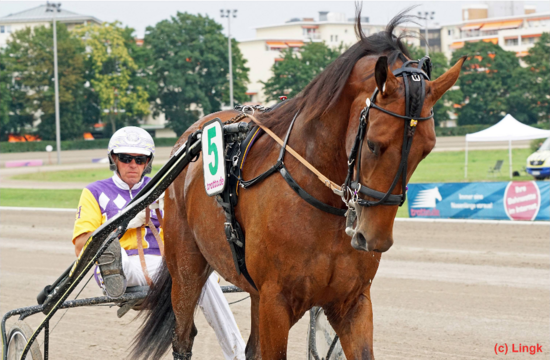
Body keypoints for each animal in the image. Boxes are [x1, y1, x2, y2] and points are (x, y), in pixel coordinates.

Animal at [133, 9, 466, 358]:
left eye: (426, 149)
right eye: (374, 144)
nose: (372, 238)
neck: (319, 199)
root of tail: (193, 132)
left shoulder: (352, 301)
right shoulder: (276, 301)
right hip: (186, 266)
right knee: (183, 334)